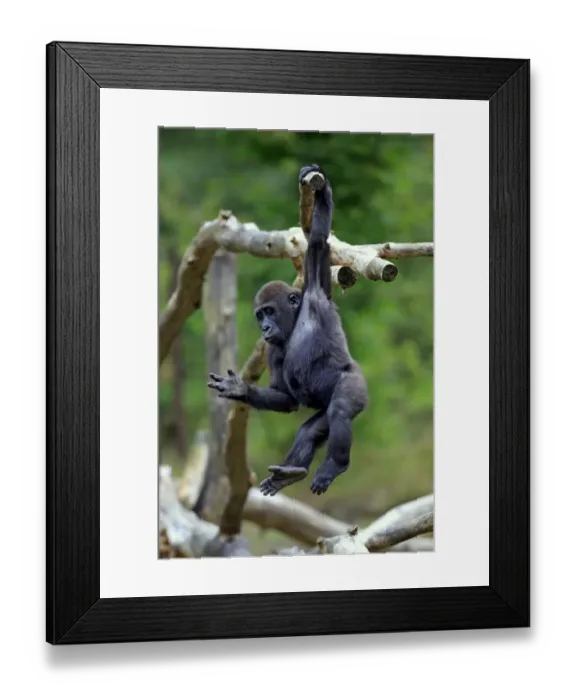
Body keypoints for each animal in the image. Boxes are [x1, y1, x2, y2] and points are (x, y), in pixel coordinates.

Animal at [207, 164, 368, 496]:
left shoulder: (316, 292)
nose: (265, 326)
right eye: (259, 316)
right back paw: (290, 473)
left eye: (269, 311)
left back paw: (335, 465)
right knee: (310, 430)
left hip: (355, 383)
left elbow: (318, 242)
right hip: (320, 413)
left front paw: (321, 188)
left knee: (341, 408)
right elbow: (285, 397)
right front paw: (241, 389)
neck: (293, 324)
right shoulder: (271, 348)